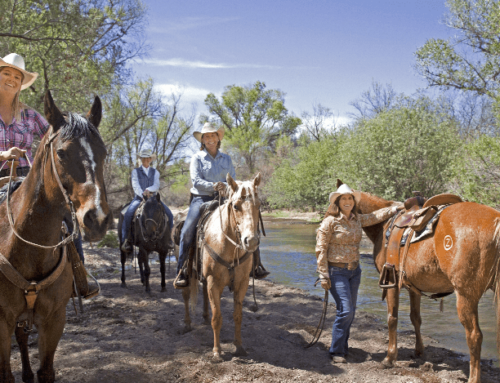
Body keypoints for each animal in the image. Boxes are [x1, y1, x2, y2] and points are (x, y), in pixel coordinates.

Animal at [0, 91, 110, 383]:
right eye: (61, 152)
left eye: (104, 152)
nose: (97, 218)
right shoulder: (1, 321)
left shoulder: (54, 319)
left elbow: (46, 371)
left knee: (22, 337)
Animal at [183, 172, 262, 362]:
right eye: (235, 206)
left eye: (259, 205)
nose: (251, 241)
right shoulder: (214, 282)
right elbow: (217, 318)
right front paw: (217, 351)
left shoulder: (242, 283)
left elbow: (238, 316)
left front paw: (239, 347)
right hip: (187, 273)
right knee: (186, 294)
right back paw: (187, 324)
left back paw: (204, 317)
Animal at [354, 183, 498, 383]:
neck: (383, 226)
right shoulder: (413, 287)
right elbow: (416, 318)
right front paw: (419, 351)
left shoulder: (391, 281)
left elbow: (392, 318)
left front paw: (390, 358)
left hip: (466, 296)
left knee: (474, 336)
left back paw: (473, 378)